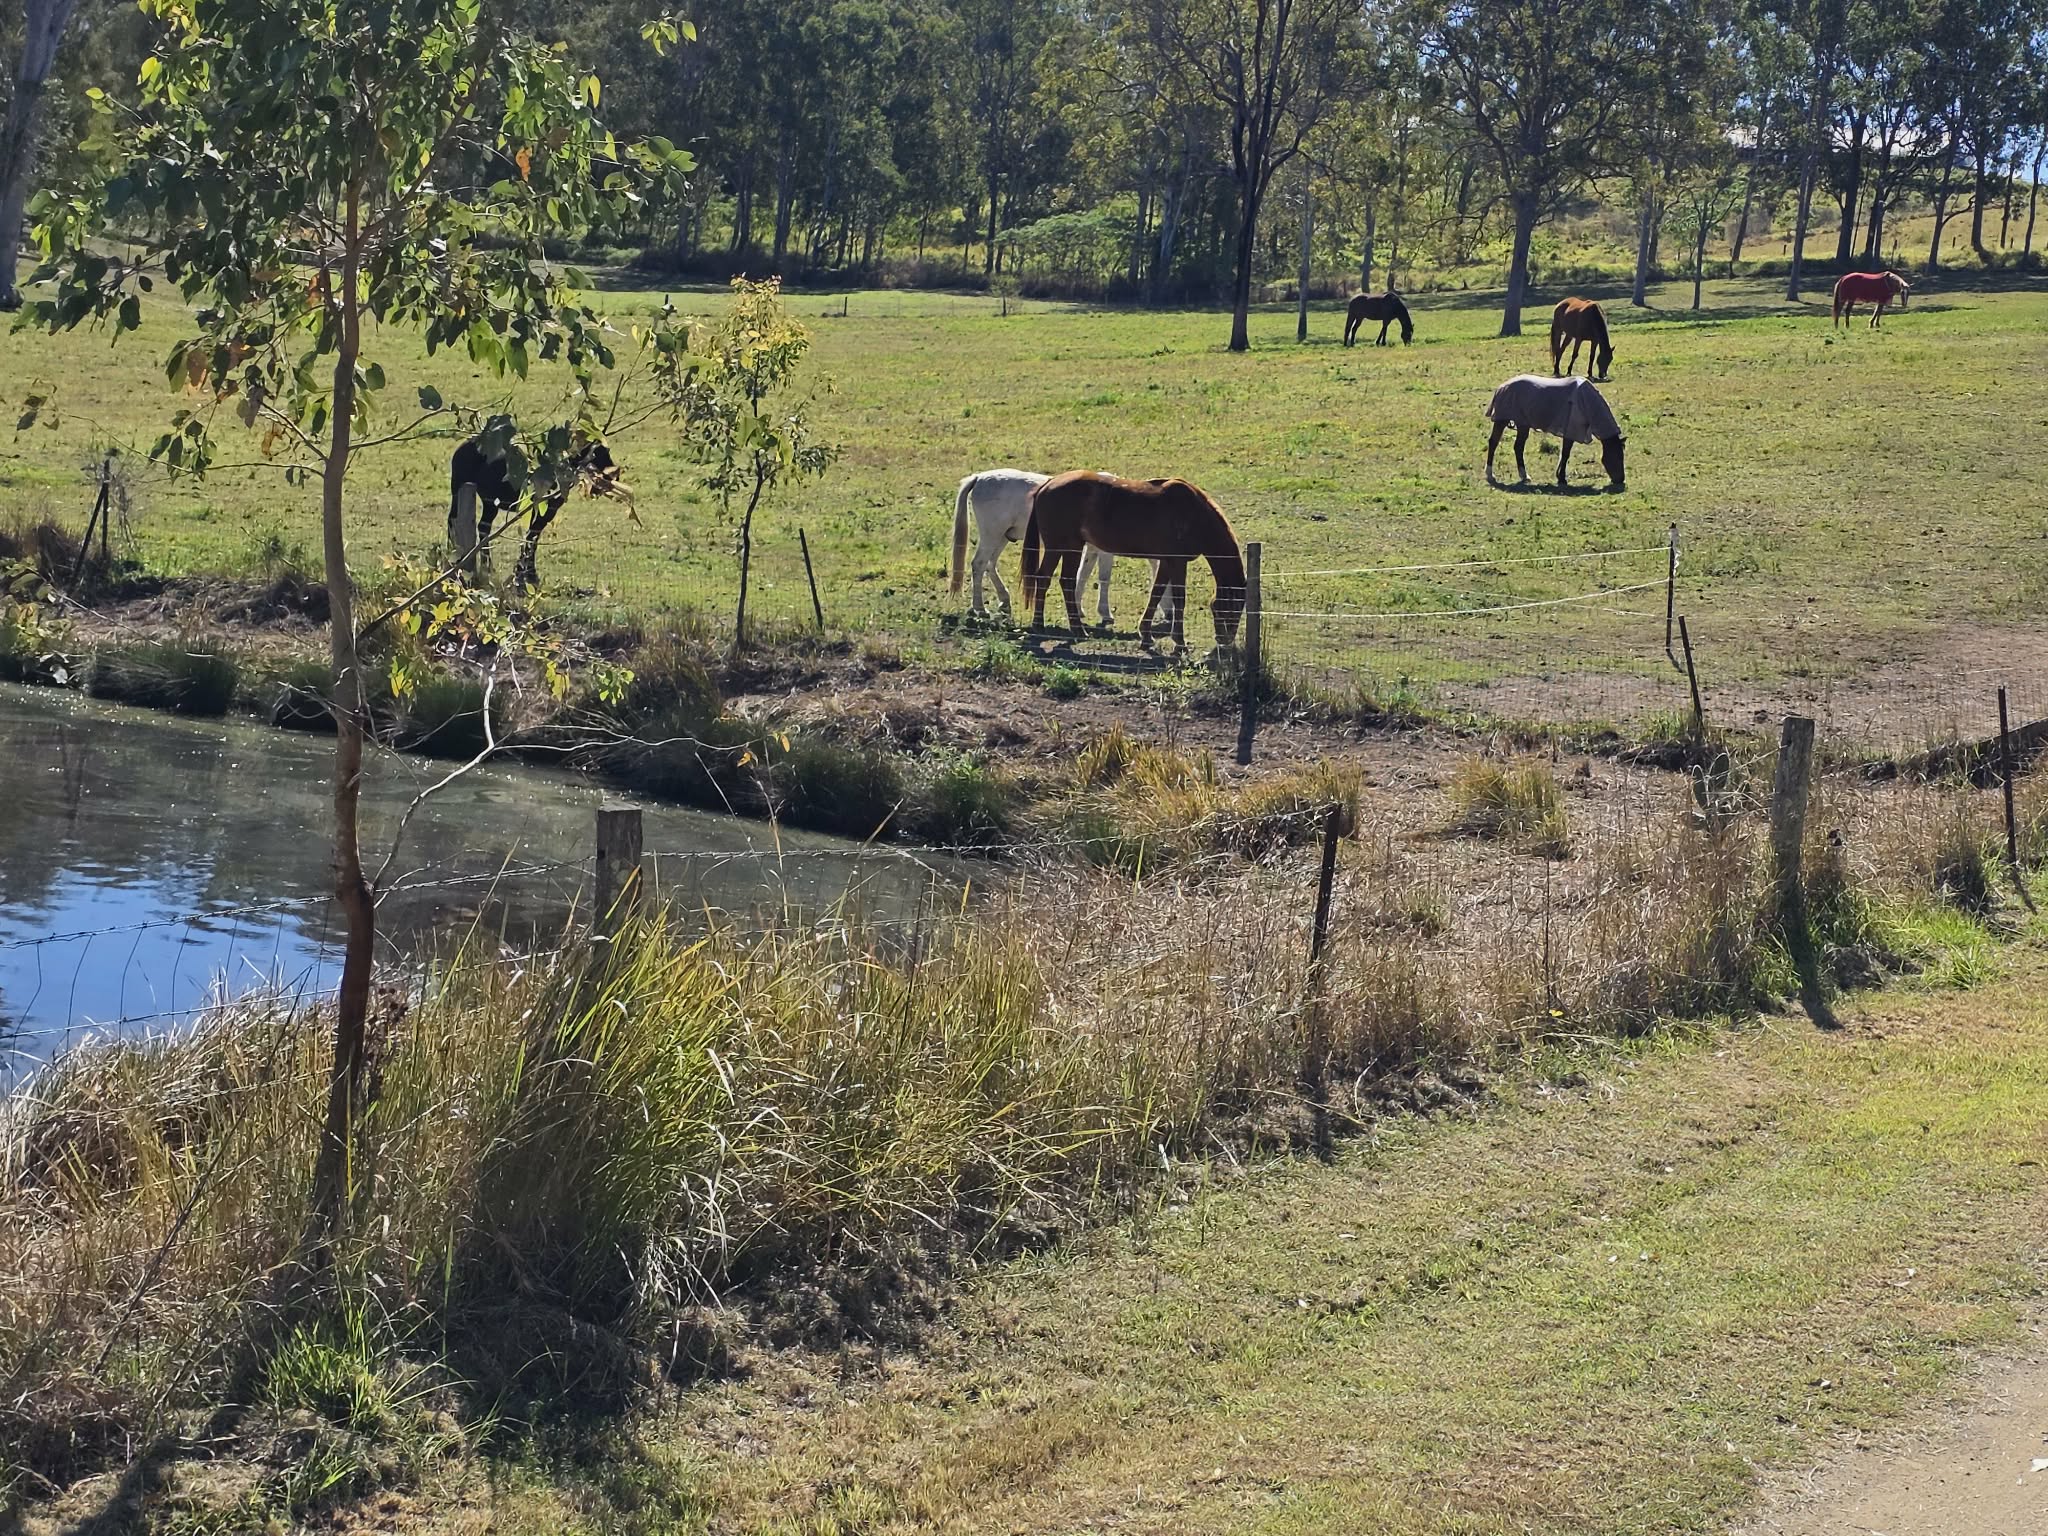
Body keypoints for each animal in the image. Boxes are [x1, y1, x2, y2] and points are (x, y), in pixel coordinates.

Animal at [948, 469, 1161, 625]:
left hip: (1002, 536)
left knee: (990, 564)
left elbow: (1082, 574)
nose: (1166, 617)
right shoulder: (1104, 550)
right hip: (992, 534)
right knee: (979, 564)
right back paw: (980, 608)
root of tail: (979, 478)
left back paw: (1004, 600)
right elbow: (1104, 578)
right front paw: (1105, 613)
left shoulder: (1091, 549)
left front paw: (1078, 609)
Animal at [1021, 471, 1245, 651]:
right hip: (1060, 546)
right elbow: (1179, 599)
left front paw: (1146, 635)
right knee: (1047, 579)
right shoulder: (1177, 562)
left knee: (1062, 581)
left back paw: (1070, 628)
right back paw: (1044, 624)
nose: (1225, 642)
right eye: (1233, 606)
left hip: (1072, 547)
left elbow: (1156, 593)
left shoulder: (1166, 562)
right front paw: (1179, 642)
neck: (1194, 513)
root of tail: (1048, 484)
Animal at [1484, 375, 1626, 490]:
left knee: (1518, 447)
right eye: (1617, 456)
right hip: (1502, 421)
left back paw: (1524, 476)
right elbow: (1565, 454)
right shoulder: (1571, 431)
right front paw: (1562, 478)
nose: (1620, 480)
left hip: (1522, 424)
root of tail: (1502, 386)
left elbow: (1564, 454)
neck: (1585, 400)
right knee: (1493, 443)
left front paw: (1559, 476)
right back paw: (1490, 474)